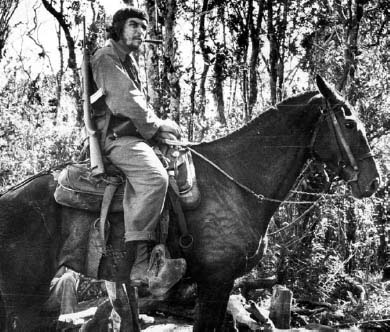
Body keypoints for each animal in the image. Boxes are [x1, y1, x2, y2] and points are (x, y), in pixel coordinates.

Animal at [0, 76, 380, 330]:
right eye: (349, 123)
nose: (372, 181)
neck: (236, 180)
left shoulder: (218, 284)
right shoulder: (216, 280)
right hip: (24, 297)